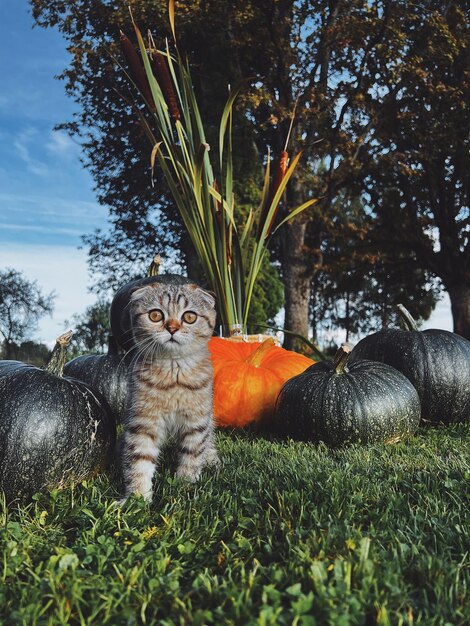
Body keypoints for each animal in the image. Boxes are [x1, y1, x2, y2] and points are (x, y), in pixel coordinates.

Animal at [119, 274, 218, 502]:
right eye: (155, 315)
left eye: (189, 317)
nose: (172, 328)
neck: (173, 376)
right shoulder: (143, 422)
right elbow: (139, 459)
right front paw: (137, 497)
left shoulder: (196, 420)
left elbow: (192, 454)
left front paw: (185, 484)